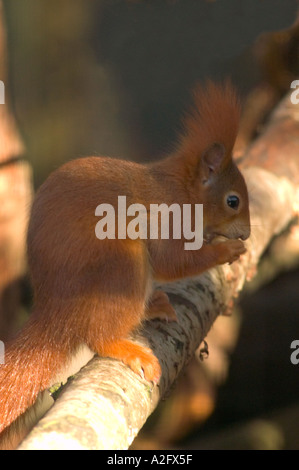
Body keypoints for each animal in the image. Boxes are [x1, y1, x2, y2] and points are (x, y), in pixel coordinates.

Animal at [0, 81, 251, 448]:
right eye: (232, 201)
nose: (246, 233)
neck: (183, 192)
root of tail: (56, 313)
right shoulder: (166, 221)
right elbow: (173, 262)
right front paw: (226, 251)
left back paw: (153, 305)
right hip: (122, 264)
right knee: (97, 335)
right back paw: (126, 347)